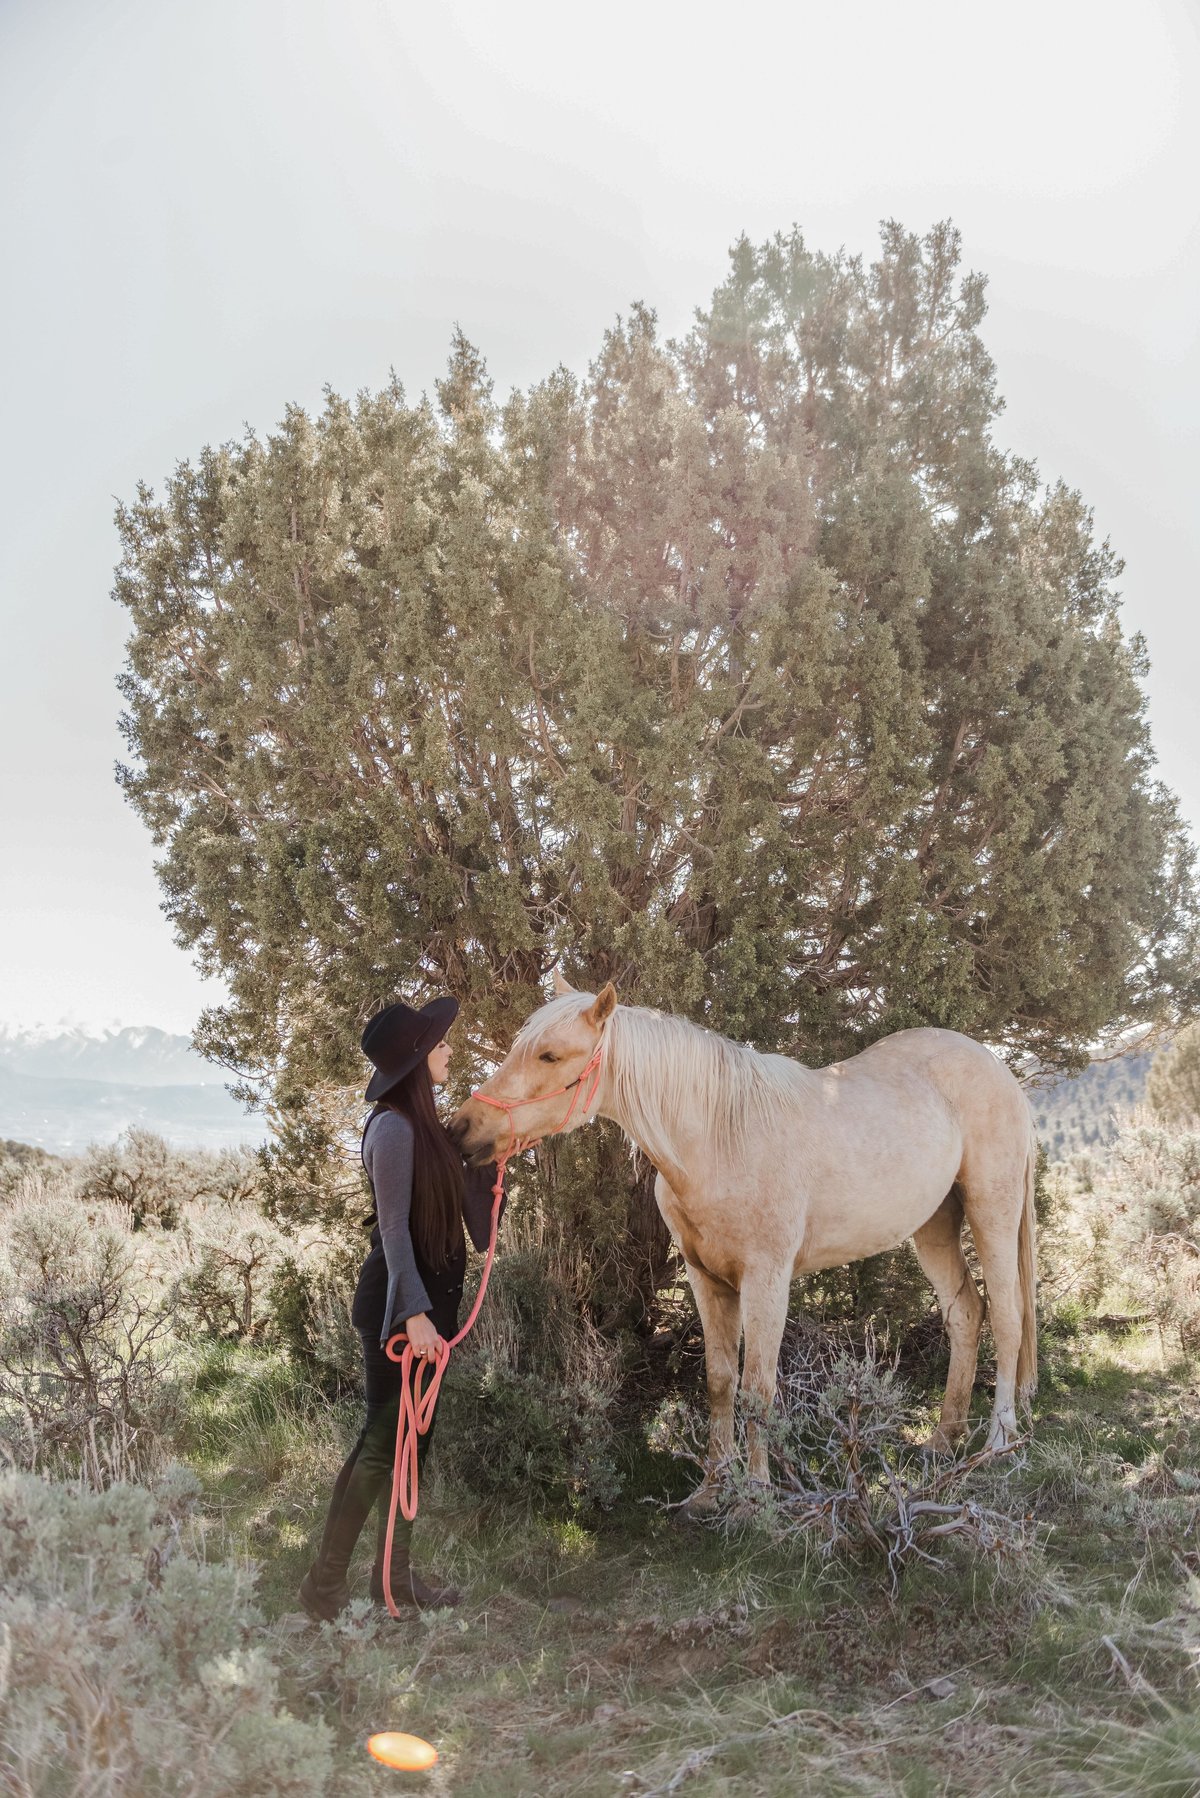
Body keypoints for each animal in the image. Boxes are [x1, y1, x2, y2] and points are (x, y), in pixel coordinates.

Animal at [449, 972, 1038, 1501]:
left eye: (549, 1056)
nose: (462, 1130)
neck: (719, 1139)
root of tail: (997, 1068)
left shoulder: (766, 1280)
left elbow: (757, 1389)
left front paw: (755, 1496)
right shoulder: (705, 1279)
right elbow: (719, 1381)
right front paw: (713, 1488)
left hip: (992, 1211)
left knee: (1008, 1316)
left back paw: (999, 1441)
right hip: (935, 1225)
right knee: (966, 1313)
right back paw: (944, 1438)